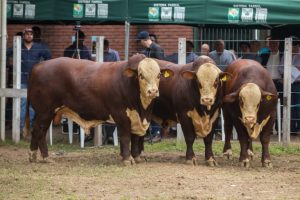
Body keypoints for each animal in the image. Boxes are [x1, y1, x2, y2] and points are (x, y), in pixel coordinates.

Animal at [23, 54, 172, 164]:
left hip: (46, 113)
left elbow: (136, 138)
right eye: (141, 75)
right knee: (39, 131)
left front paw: (136, 157)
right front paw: (126, 159)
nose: (153, 91)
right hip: (44, 111)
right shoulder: (121, 116)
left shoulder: (137, 118)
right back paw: (39, 156)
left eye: (158, 75)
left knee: (40, 132)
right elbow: (125, 137)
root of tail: (38, 66)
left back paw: (39, 157)